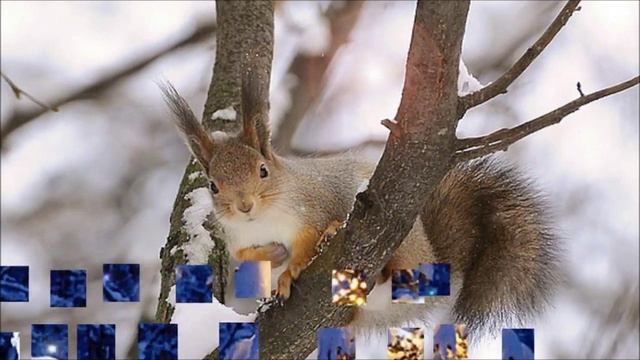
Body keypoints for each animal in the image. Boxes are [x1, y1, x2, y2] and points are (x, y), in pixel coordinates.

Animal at [161, 69, 560, 334]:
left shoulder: (313, 203)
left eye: (262, 171)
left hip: (407, 247)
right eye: (213, 186)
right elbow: (246, 255)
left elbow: (306, 241)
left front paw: (291, 268)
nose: (244, 206)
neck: (264, 220)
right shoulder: (237, 238)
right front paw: (272, 255)